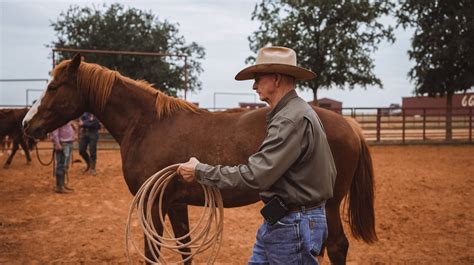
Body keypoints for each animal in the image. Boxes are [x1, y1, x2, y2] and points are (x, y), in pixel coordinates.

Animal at [24, 54, 376, 262]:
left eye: (54, 87)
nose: (28, 124)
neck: (147, 124)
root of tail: (349, 125)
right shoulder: (175, 204)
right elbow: (185, 248)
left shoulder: (153, 204)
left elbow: (153, 251)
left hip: (330, 204)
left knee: (337, 246)